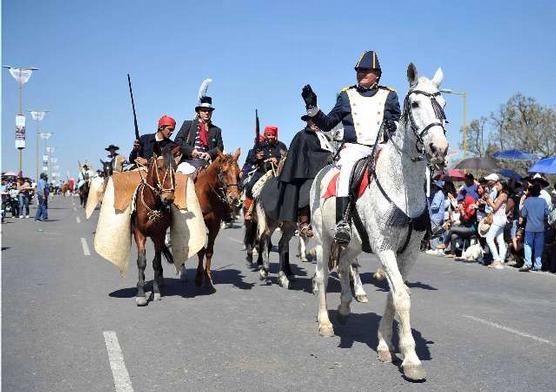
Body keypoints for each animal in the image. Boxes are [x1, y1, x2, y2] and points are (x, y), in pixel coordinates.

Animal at [132, 144, 180, 306]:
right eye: (159, 167)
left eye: (175, 168)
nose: (168, 198)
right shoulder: (139, 234)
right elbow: (141, 262)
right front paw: (141, 294)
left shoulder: (159, 235)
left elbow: (156, 263)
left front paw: (156, 291)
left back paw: (160, 280)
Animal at [194, 149, 240, 290]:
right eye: (224, 172)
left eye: (238, 173)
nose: (234, 198)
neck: (206, 194)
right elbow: (200, 251)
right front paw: (199, 277)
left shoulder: (215, 226)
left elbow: (209, 251)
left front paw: (208, 277)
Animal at [310, 63, 450, 380]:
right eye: (415, 103)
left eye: (443, 103)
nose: (438, 148)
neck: (402, 187)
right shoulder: (385, 248)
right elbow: (402, 297)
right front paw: (411, 359)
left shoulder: (407, 254)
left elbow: (394, 295)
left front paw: (386, 344)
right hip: (323, 238)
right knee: (322, 275)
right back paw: (325, 322)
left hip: (354, 243)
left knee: (346, 263)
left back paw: (346, 306)